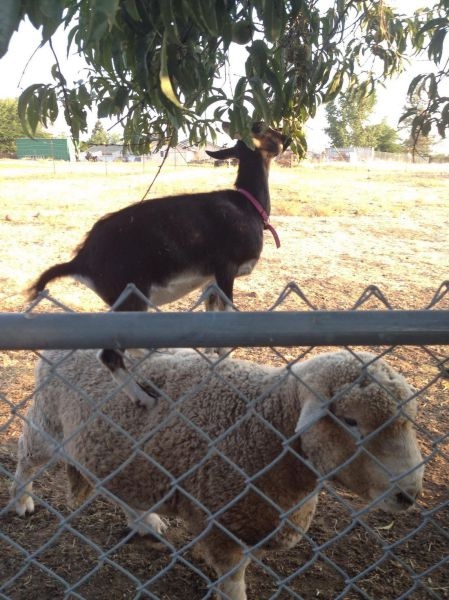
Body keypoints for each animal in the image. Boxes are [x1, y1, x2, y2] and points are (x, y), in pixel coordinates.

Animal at [10, 350, 424, 596]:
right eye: (351, 421)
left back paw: (142, 520)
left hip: (115, 448)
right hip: (48, 424)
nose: (409, 494)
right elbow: (232, 582)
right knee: (25, 456)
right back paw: (21, 500)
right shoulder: (222, 526)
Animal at [28, 125, 288, 410]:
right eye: (266, 130)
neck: (248, 206)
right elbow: (228, 314)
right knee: (110, 354)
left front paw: (210, 354)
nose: (286, 138)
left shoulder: (210, 279)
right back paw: (144, 399)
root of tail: (81, 260)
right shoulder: (225, 269)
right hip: (131, 297)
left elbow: (211, 314)